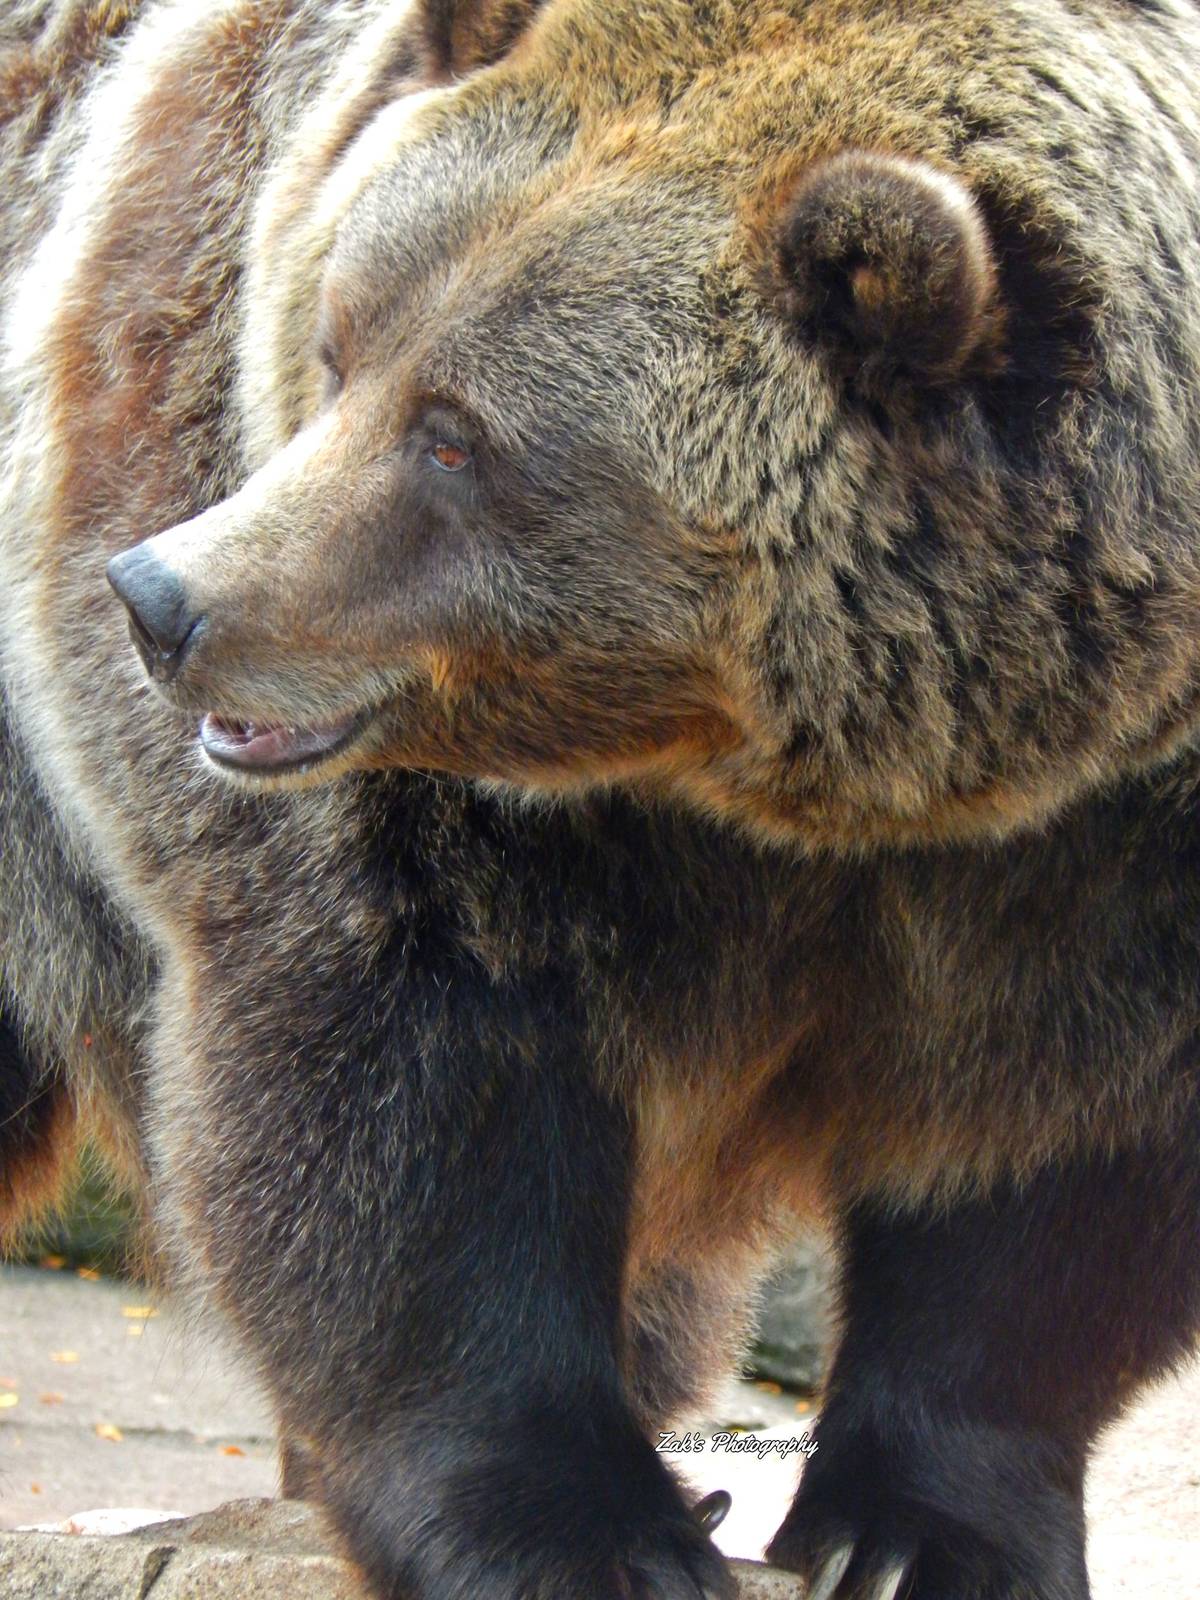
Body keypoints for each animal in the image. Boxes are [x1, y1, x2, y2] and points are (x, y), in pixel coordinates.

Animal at [3, 0, 1200, 1597]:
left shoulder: (1114, 839)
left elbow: (1057, 1157)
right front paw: (583, 1530)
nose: (163, 600)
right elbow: (408, 1081)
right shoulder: (453, 824)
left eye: (457, 434)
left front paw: (918, 1531)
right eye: (341, 346)